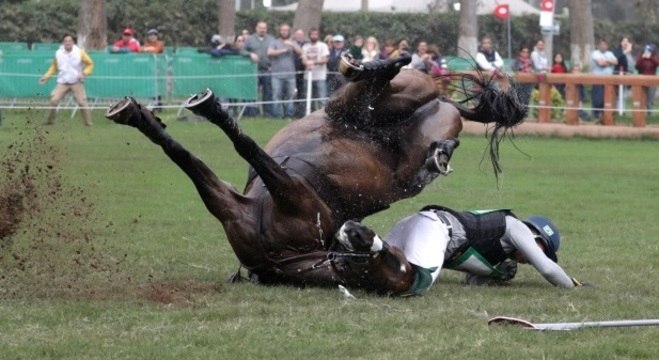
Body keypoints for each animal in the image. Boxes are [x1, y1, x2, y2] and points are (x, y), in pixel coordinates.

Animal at [104, 54, 524, 296]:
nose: (357, 237)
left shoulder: (289, 195)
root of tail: (447, 103)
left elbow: (236, 151)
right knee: (375, 87)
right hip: (370, 105)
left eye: (396, 267)